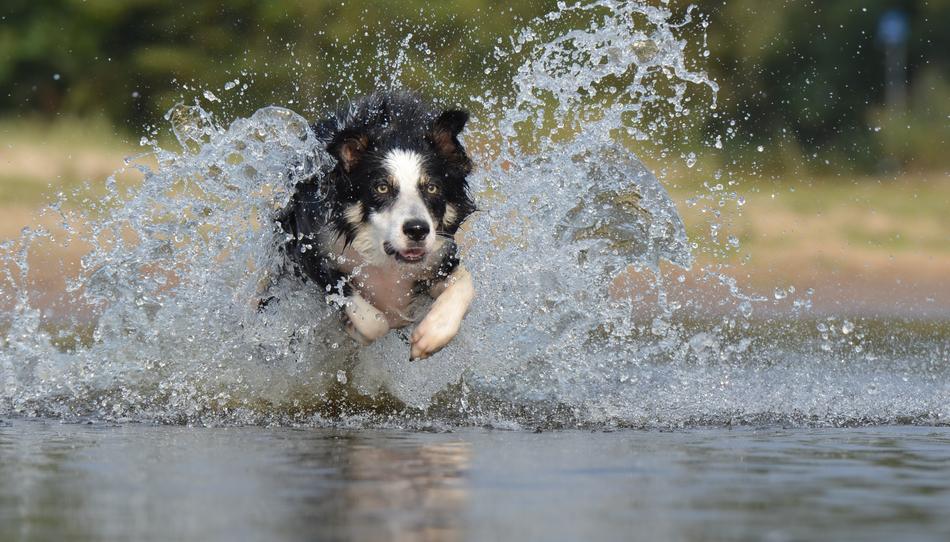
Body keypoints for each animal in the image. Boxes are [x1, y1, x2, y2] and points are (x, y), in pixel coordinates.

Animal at [278, 92, 480, 364]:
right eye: (382, 187)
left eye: (432, 187)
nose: (417, 230)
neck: (386, 259)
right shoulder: (313, 254)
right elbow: (374, 322)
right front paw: (354, 328)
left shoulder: (439, 257)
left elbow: (465, 283)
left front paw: (432, 335)